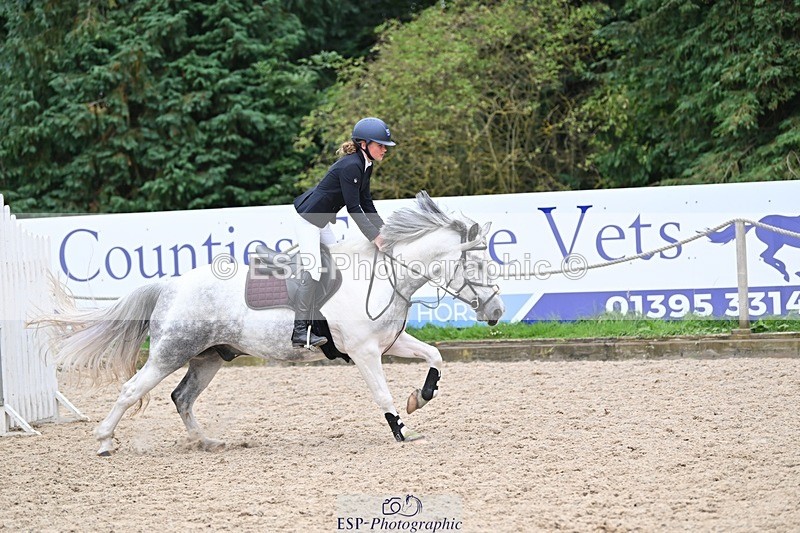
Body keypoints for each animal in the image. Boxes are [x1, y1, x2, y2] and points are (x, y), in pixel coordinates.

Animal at [35, 191, 505, 456]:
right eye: (477, 263)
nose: (497, 312)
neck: (383, 275)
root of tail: (170, 284)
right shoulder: (365, 352)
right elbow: (381, 394)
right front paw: (402, 431)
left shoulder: (390, 343)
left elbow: (435, 356)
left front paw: (420, 398)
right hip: (172, 351)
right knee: (133, 389)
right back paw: (103, 442)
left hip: (209, 356)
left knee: (182, 397)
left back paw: (207, 443)